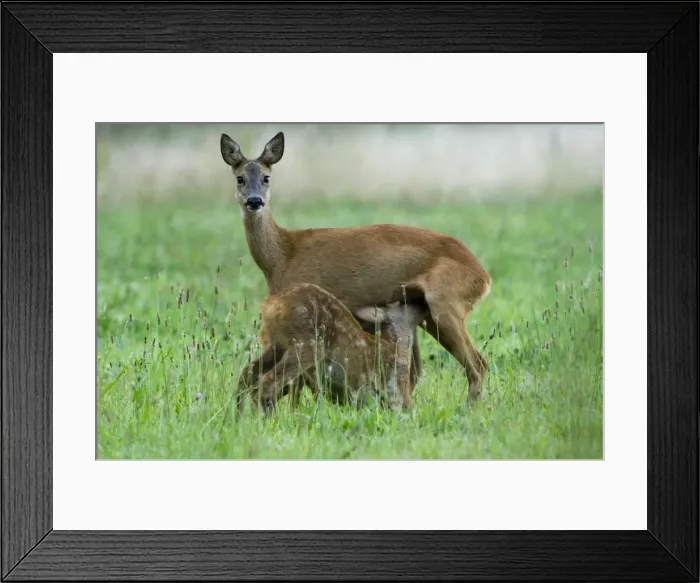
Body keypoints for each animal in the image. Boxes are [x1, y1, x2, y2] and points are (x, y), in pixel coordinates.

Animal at [237, 283, 430, 413]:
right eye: (403, 302)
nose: (422, 299)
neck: (397, 344)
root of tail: (271, 303)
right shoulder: (395, 385)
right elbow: (410, 410)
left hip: (277, 346)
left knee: (246, 375)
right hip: (306, 345)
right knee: (267, 385)